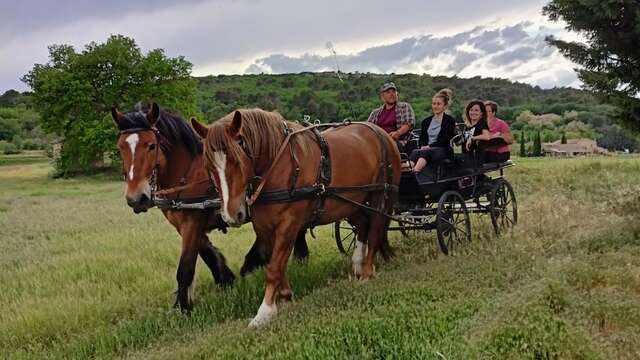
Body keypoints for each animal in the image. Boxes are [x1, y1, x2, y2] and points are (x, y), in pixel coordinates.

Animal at [111, 102, 308, 310]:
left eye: (151, 145)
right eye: (119, 148)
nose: (136, 199)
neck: (188, 172)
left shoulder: (192, 222)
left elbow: (185, 267)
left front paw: (184, 308)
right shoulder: (185, 224)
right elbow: (206, 252)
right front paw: (224, 278)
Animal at [191, 109, 400, 326]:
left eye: (237, 161)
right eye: (208, 166)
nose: (231, 215)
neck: (279, 165)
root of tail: (382, 134)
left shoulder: (288, 225)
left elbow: (274, 267)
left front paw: (265, 311)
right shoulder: (264, 227)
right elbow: (274, 262)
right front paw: (284, 296)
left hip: (382, 194)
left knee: (375, 229)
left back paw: (367, 272)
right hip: (352, 200)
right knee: (362, 226)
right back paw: (358, 264)